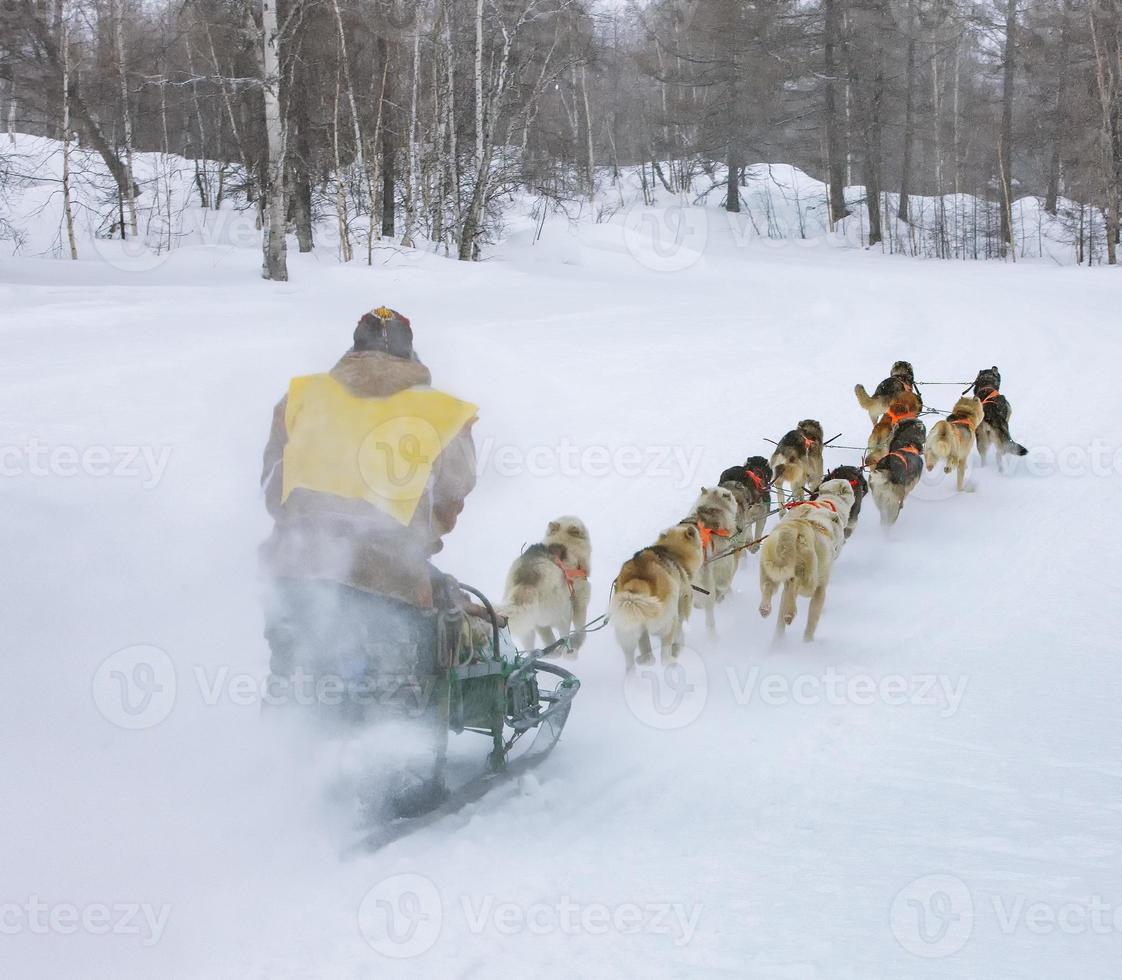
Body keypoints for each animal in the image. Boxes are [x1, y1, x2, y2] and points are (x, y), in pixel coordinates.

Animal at [498, 511, 587, 655]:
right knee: (563, 638)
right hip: (563, 612)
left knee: (538, 644)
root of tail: (527, 580)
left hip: (529, 622)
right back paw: (568, 651)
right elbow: (581, 628)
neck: (562, 542)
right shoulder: (580, 600)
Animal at [614, 523, 700, 669]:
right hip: (667, 623)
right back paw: (670, 662)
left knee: (634, 658)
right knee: (664, 655)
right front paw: (679, 647)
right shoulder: (682, 603)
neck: (672, 551)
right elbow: (680, 630)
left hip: (629, 629)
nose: (693, 526)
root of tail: (639, 580)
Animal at [758, 475, 852, 642]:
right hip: (810, 579)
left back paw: (766, 609)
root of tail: (796, 529)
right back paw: (790, 613)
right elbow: (812, 621)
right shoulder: (820, 588)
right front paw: (807, 641)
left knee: (770, 587)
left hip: (769, 567)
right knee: (796, 585)